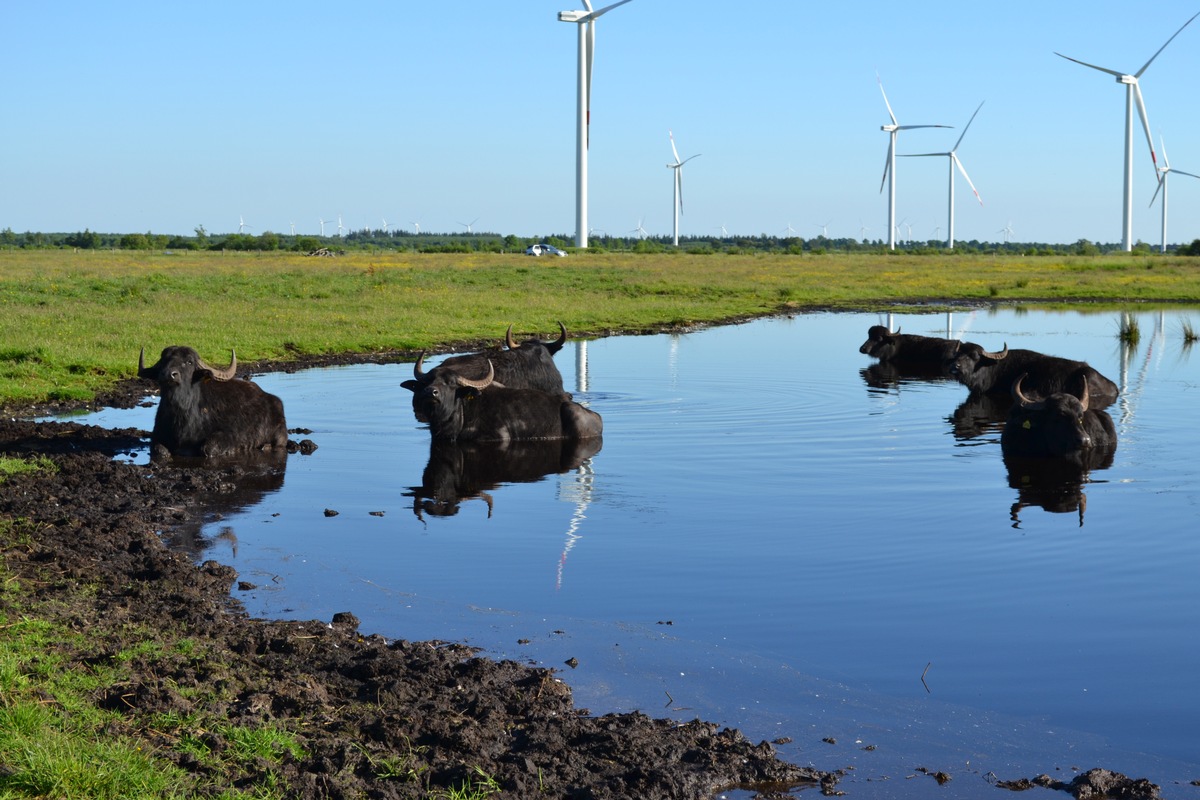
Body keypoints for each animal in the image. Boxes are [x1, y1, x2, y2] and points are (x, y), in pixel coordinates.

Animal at [137, 347, 288, 460]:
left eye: (189, 362)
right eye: (164, 360)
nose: (169, 374)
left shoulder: (229, 435)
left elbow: (207, 449)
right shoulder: (157, 435)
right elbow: (159, 450)